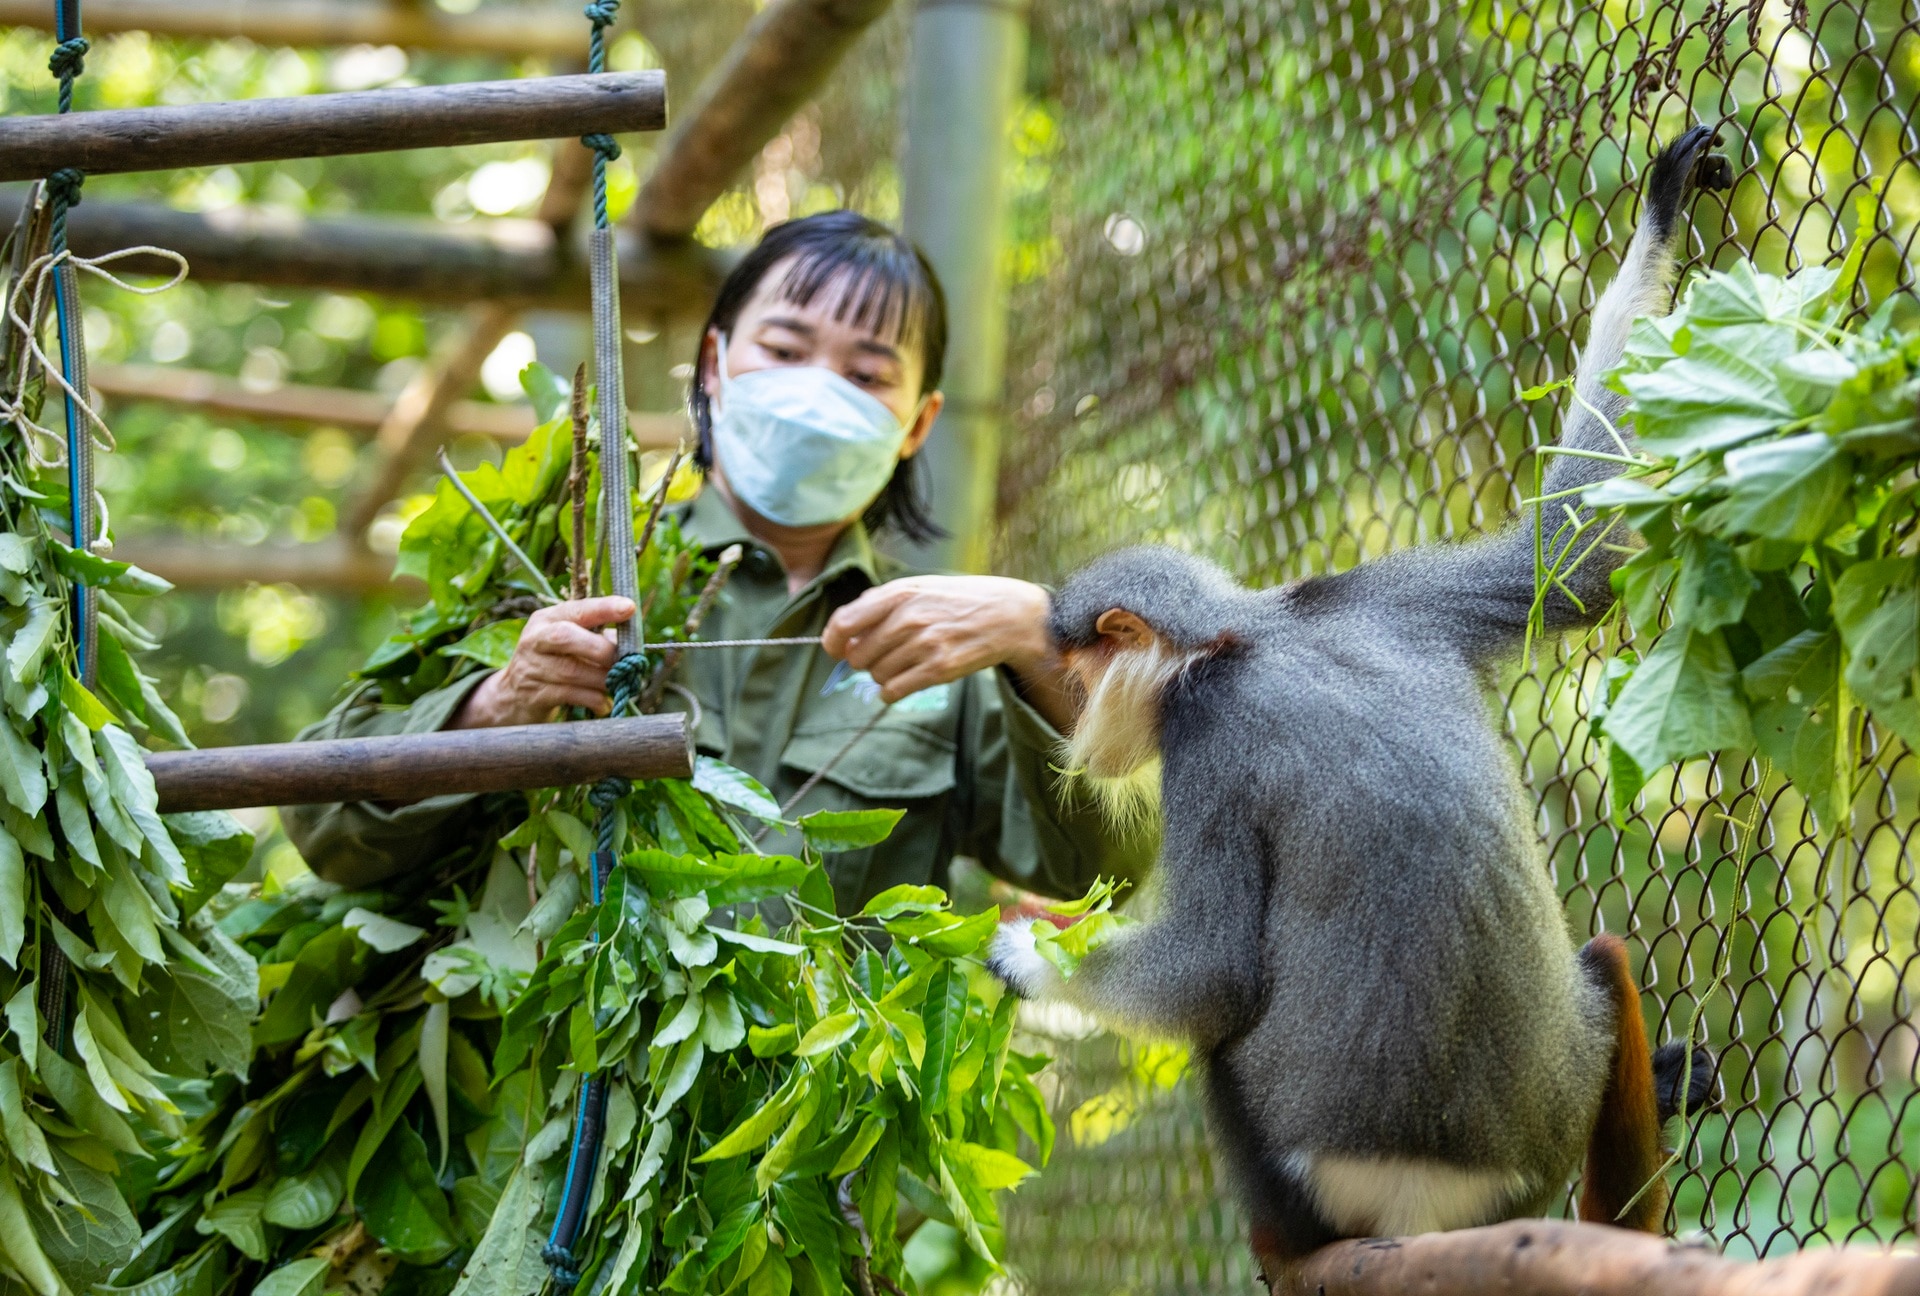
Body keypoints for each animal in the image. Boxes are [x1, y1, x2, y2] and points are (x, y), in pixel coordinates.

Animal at [998, 126, 1735, 1259]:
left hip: (1307, 1182)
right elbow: (1568, 559)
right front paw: (1663, 204)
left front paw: (1023, 956)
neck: (1248, 636)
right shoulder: (1379, 598)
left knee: (1221, 1039)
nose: (1075, 712)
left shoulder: (1209, 733)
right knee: (1605, 958)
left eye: (1078, 670)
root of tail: (1420, 1215)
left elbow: (1211, 971)